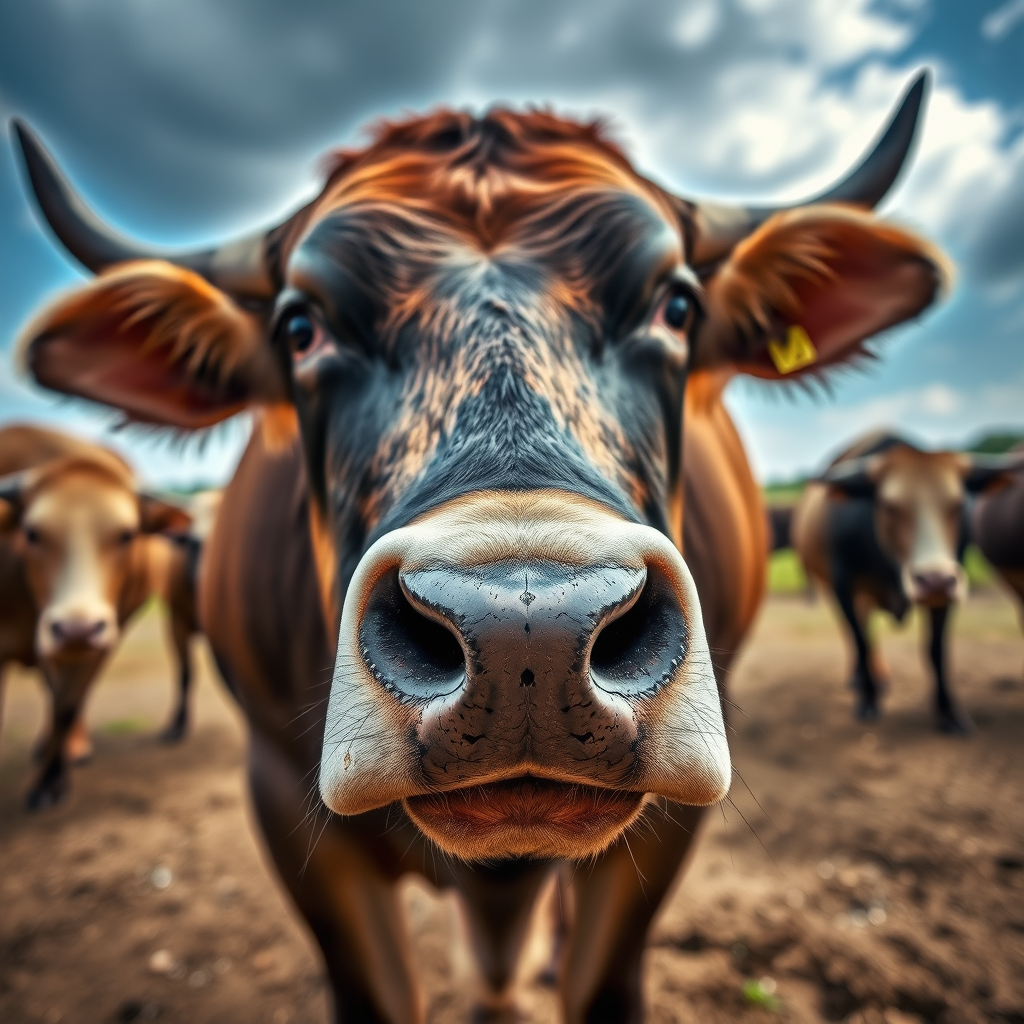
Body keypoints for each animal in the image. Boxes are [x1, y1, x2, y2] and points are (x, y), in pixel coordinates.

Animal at [0, 424, 193, 807]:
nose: (77, 629)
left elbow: (66, 706)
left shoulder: (97, 646)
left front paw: (50, 781)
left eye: (127, 535)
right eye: (31, 533)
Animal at [791, 432, 1023, 733]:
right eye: (888, 506)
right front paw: (867, 700)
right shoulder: (844, 587)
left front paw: (948, 712)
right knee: (855, 633)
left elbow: (936, 650)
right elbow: (861, 641)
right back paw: (861, 679)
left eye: (958, 504)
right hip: (829, 587)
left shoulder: (944, 600)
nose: (935, 580)